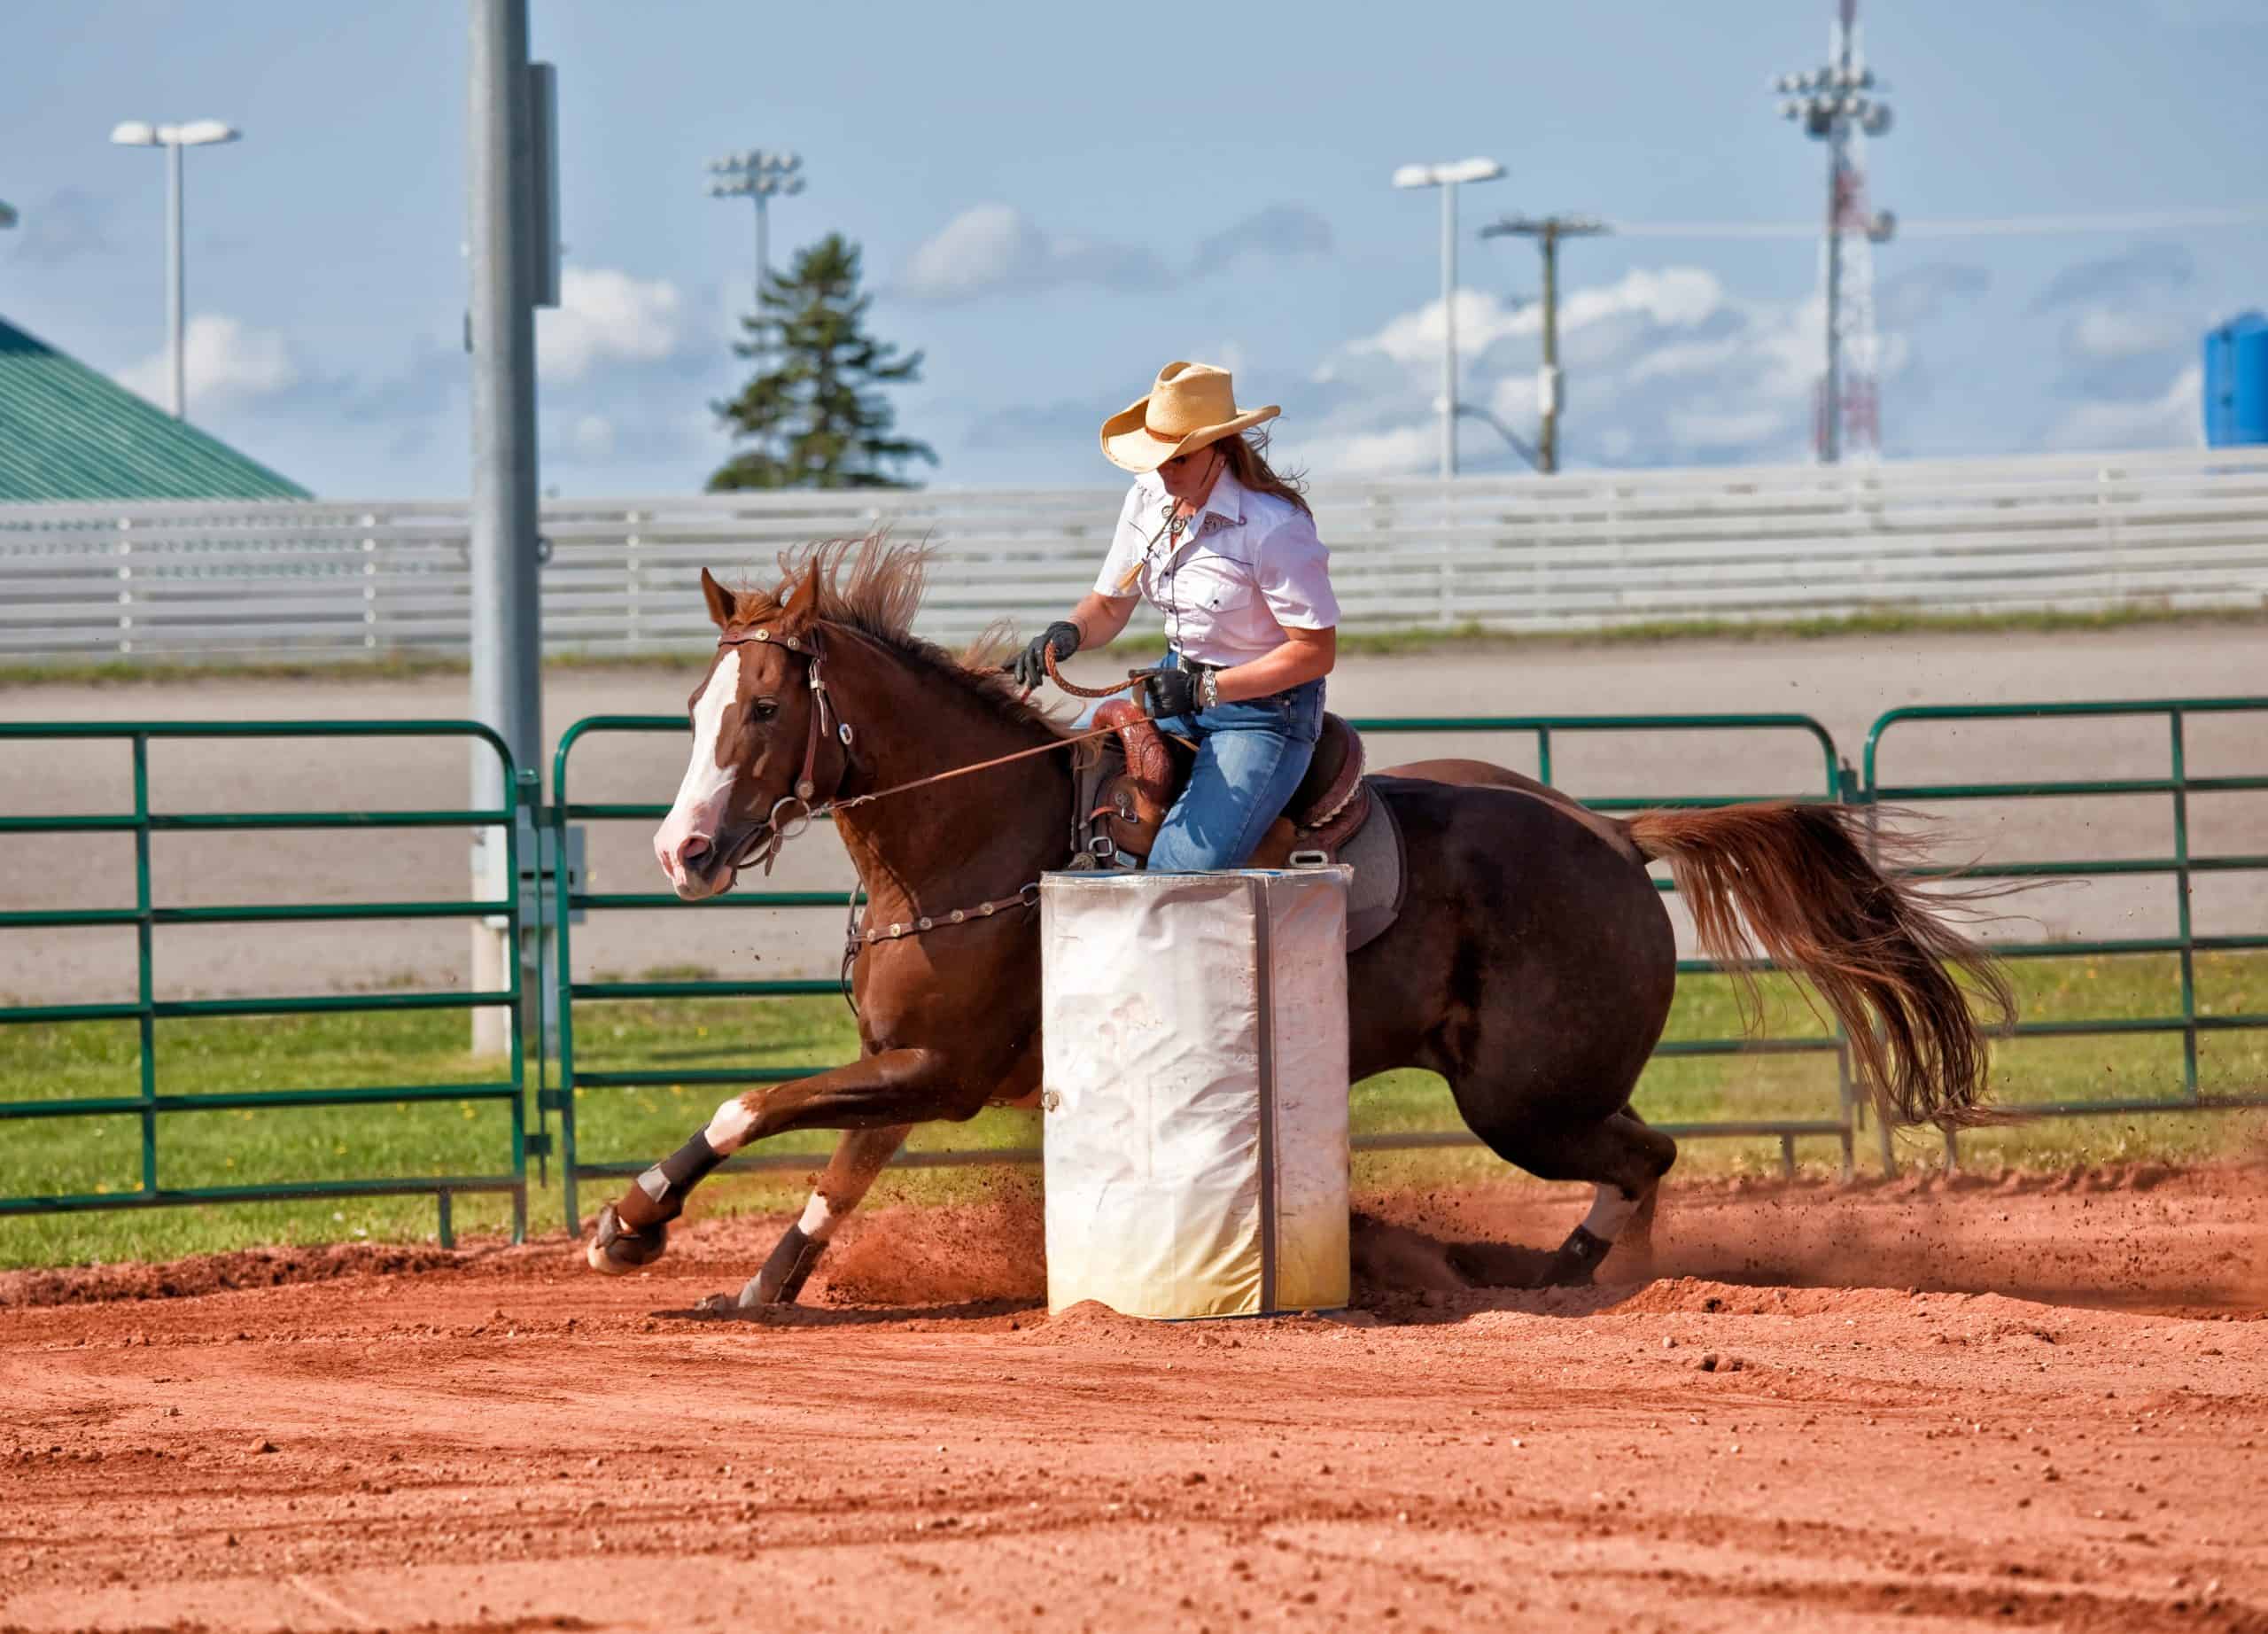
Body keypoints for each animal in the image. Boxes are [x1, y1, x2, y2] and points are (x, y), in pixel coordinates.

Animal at [580, 542, 2005, 1307]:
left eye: (766, 709)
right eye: (698, 707)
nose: (680, 851)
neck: (977, 835)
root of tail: (1615, 834)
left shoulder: (940, 1071)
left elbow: (753, 1104)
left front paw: (628, 1225)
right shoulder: (907, 1073)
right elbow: (834, 1174)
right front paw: (754, 1288)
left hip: (1526, 1099)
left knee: (1645, 1157)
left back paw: (1565, 1273)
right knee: (1642, 1155)